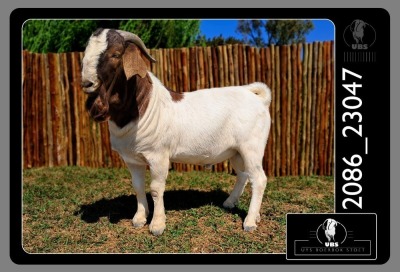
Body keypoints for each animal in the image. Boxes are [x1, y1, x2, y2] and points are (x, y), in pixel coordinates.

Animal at [80, 28, 272, 236]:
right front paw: (139, 218)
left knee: (259, 179)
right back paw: (233, 204)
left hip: (252, 147)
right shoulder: (132, 159)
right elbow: (138, 186)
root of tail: (258, 99)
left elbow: (156, 189)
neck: (145, 106)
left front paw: (157, 225)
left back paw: (250, 221)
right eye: (86, 52)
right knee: (244, 175)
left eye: (115, 55)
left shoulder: (158, 156)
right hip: (236, 152)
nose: (87, 83)